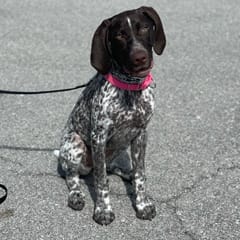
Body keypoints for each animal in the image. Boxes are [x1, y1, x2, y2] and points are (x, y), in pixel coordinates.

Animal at [54, 6, 166, 226]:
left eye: (144, 27)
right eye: (119, 35)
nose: (140, 57)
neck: (130, 88)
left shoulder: (141, 134)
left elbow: (140, 174)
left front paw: (142, 205)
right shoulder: (99, 137)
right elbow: (101, 181)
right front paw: (103, 210)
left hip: (117, 148)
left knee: (112, 167)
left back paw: (127, 174)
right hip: (75, 145)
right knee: (74, 176)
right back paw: (76, 196)